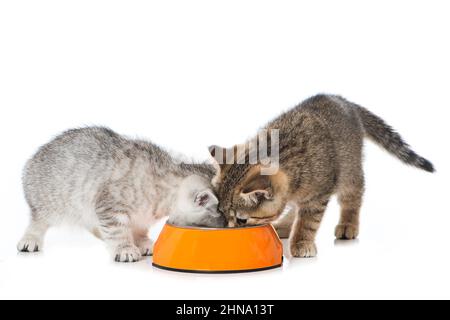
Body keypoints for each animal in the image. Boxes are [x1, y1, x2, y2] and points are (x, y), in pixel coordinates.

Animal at [17, 127, 225, 262]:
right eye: (225, 217)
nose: (229, 224)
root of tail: (34, 159)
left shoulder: (141, 217)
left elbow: (138, 228)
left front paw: (142, 242)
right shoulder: (109, 204)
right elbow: (117, 229)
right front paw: (124, 248)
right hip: (49, 201)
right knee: (38, 220)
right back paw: (30, 238)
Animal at [209, 94, 434, 258]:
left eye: (242, 220)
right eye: (222, 213)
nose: (228, 230)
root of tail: (343, 100)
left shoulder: (319, 194)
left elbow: (308, 221)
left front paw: (301, 242)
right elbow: (297, 209)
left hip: (349, 170)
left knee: (353, 196)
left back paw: (348, 224)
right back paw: (286, 225)